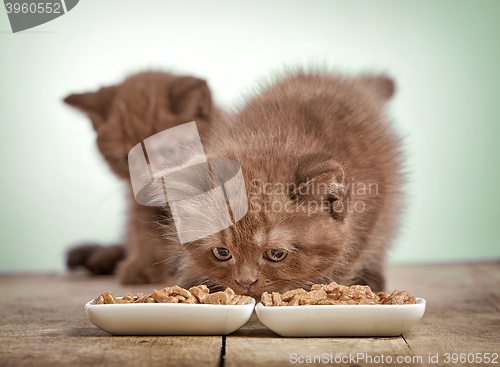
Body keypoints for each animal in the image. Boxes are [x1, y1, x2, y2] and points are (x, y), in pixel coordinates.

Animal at [64, 72, 217, 284]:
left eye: (169, 152)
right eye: (126, 159)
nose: (148, 181)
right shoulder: (138, 200)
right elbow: (142, 231)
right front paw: (144, 264)